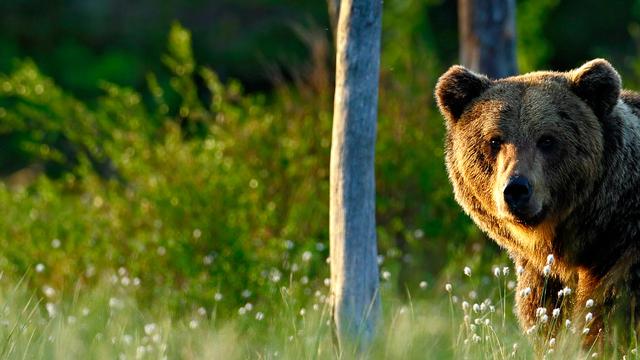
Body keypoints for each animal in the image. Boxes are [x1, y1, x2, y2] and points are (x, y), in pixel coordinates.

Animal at [436, 59, 640, 346]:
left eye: (547, 139)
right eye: (494, 140)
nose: (516, 189)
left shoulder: (621, 256)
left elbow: (605, 315)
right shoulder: (543, 277)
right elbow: (547, 320)